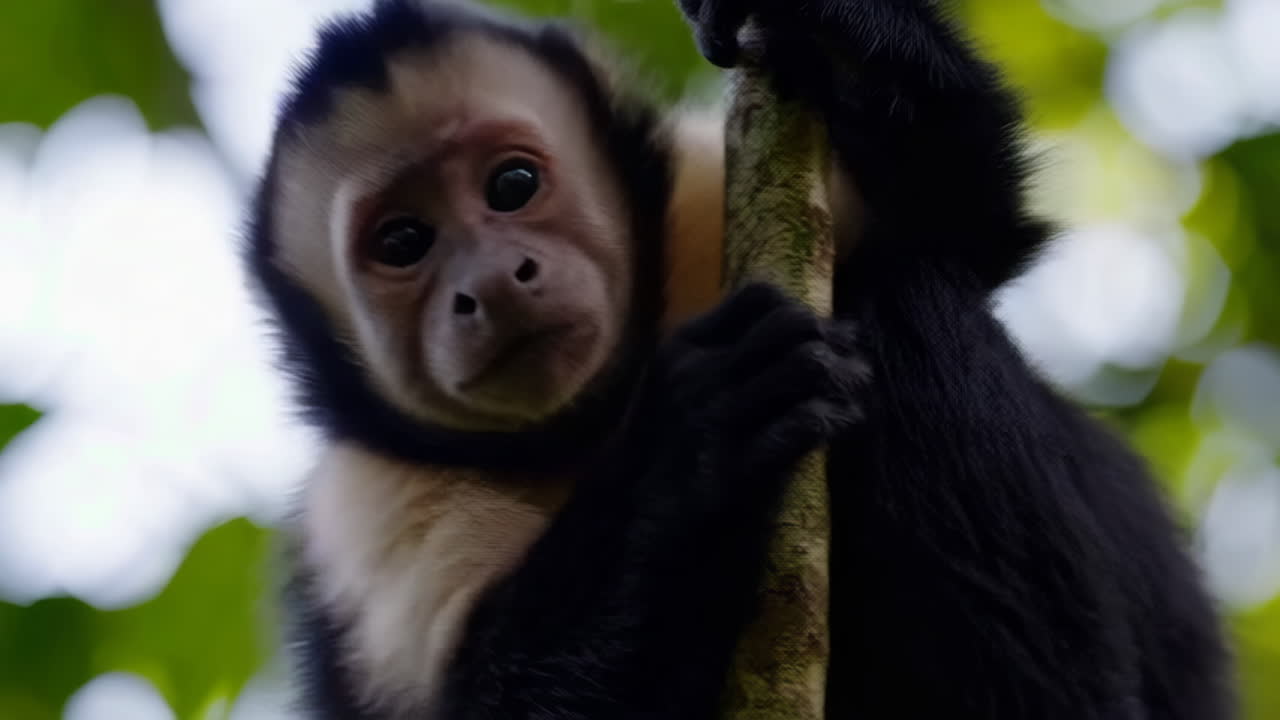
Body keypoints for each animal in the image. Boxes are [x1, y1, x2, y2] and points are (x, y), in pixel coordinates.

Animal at [243, 0, 1236, 718]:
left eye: (512, 186)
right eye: (404, 242)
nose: (491, 280)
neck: (589, 423)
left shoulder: (696, 200)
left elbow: (967, 225)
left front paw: (838, 31)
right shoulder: (369, 518)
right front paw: (686, 454)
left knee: (908, 306)